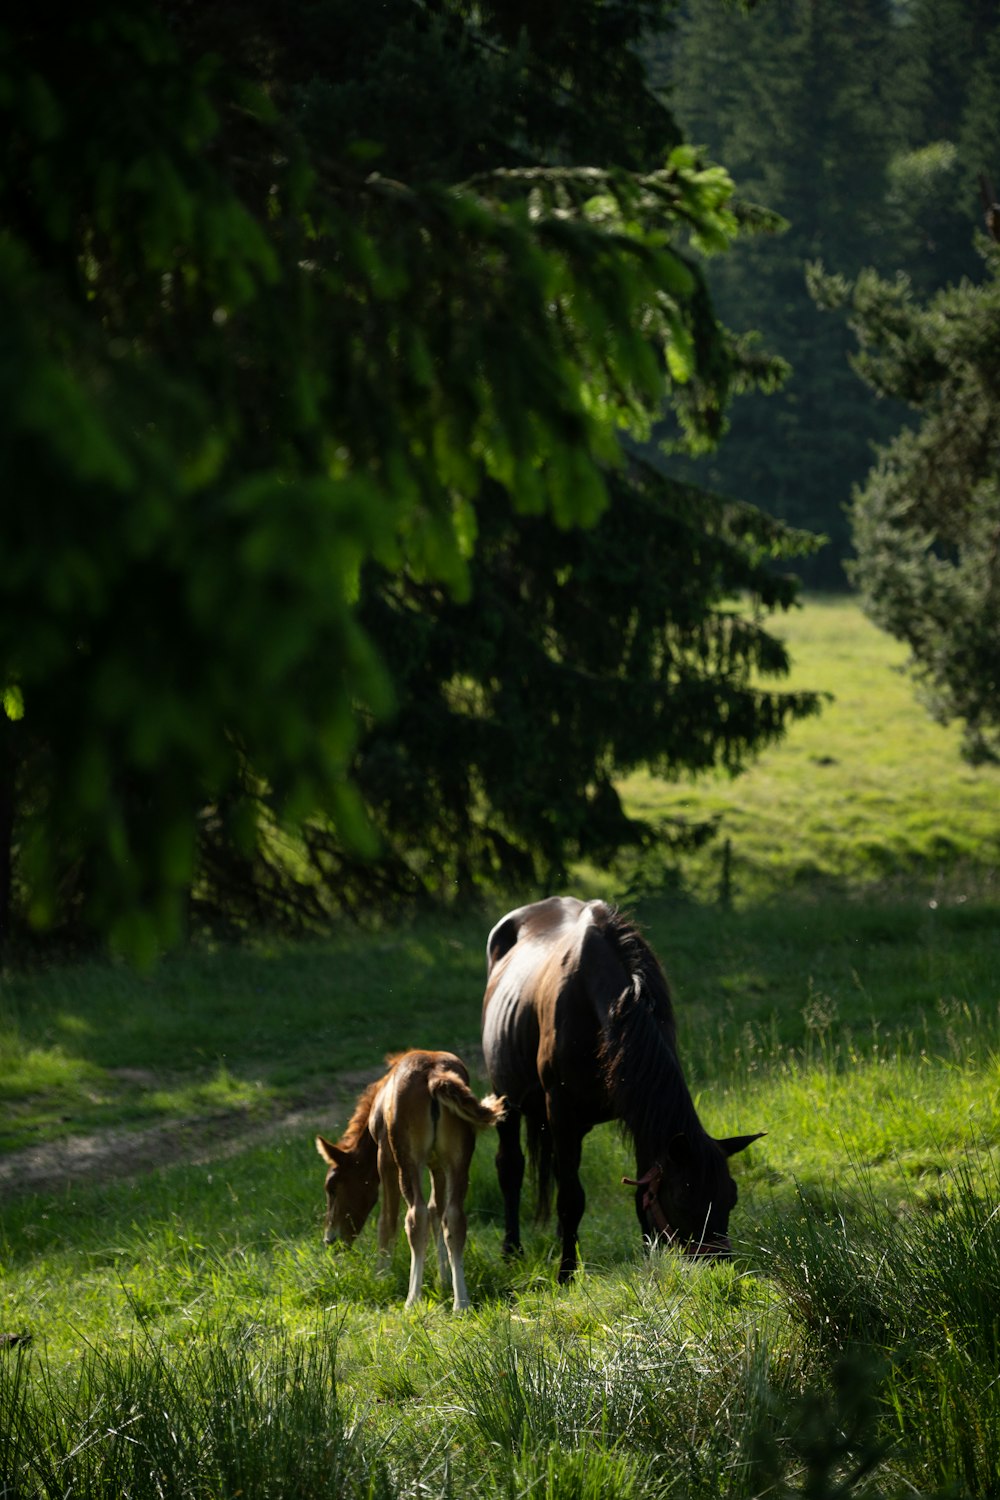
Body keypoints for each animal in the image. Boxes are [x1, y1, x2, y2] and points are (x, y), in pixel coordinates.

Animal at [479, 894, 761, 1284]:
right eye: (685, 1200)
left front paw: (649, 1263)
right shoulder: (562, 1114)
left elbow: (640, 1195)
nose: (720, 1267)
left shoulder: (642, 1117)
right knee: (511, 1168)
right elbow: (571, 1199)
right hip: (506, 1099)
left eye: (730, 1198)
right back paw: (512, 1250)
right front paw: (566, 1273)